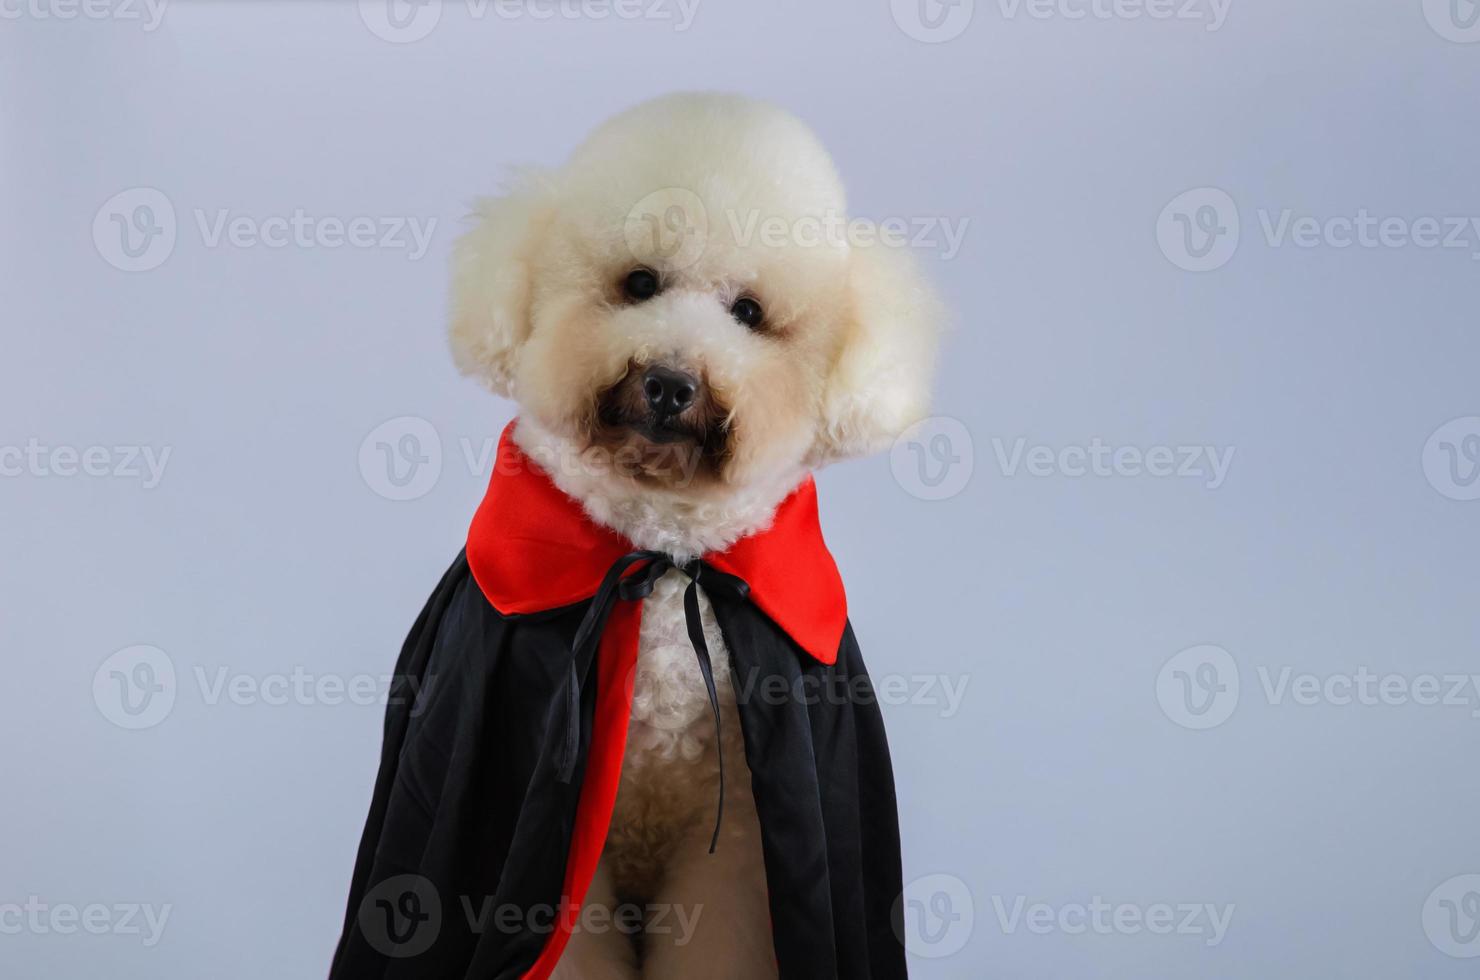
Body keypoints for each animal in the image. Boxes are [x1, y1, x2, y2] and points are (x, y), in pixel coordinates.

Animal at [444, 90, 941, 977]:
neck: (665, 554)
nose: (672, 384)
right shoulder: (570, 850)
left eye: (748, 312)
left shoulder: (737, 836)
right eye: (640, 282)